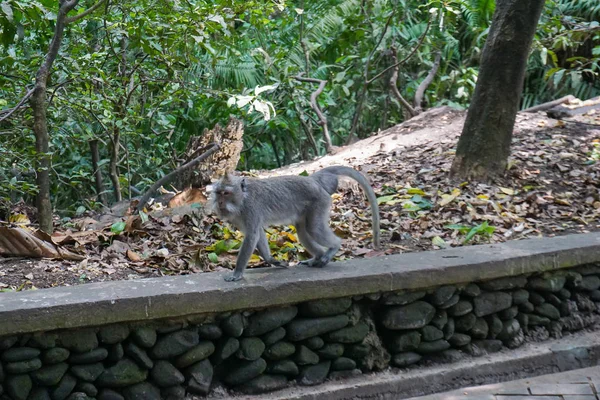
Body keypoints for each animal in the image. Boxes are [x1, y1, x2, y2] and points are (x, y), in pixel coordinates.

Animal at [209, 166, 382, 282]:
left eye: (226, 193)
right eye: (218, 193)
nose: (220, 203)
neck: (243, 198)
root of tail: (313, 179)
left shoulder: (251, 209)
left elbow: (252, 235)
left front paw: (237, 273)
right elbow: (257, 233)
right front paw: (271, 259)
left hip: (319, 202)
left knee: (314, 228)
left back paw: (334, 247)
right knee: (303, 231)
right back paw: (317, 257)